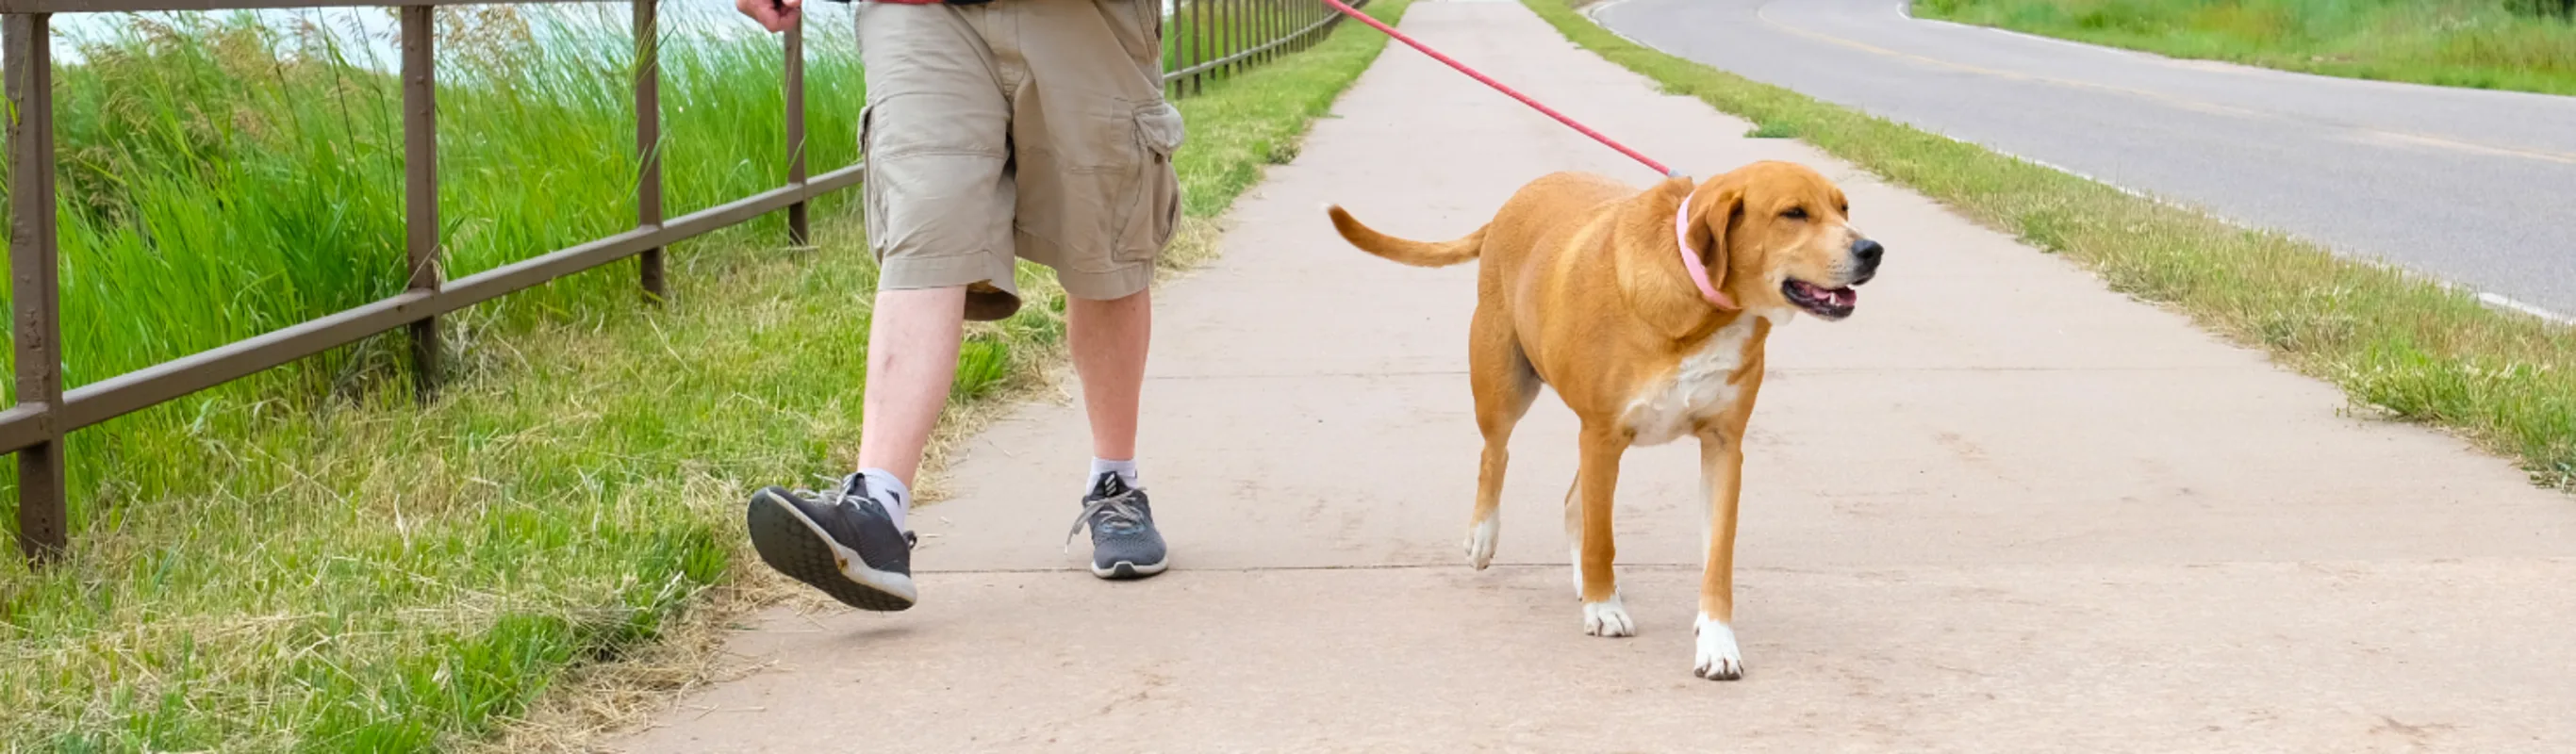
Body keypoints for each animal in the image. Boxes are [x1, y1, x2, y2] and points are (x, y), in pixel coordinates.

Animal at [1329, 161, 1874, 679]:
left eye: (1844, 207)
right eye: (1793, 213)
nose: (1873, 249)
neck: (1703, 306)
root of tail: (1512, 202)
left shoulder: (1723, 445)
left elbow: (1717, 557)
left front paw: (1717, 643)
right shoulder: (1601, 435)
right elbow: (1601, 538)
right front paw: (1603, 608)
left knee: (1572, 501)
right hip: (1504, 384)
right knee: (1496, 454)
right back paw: (1484, 535)